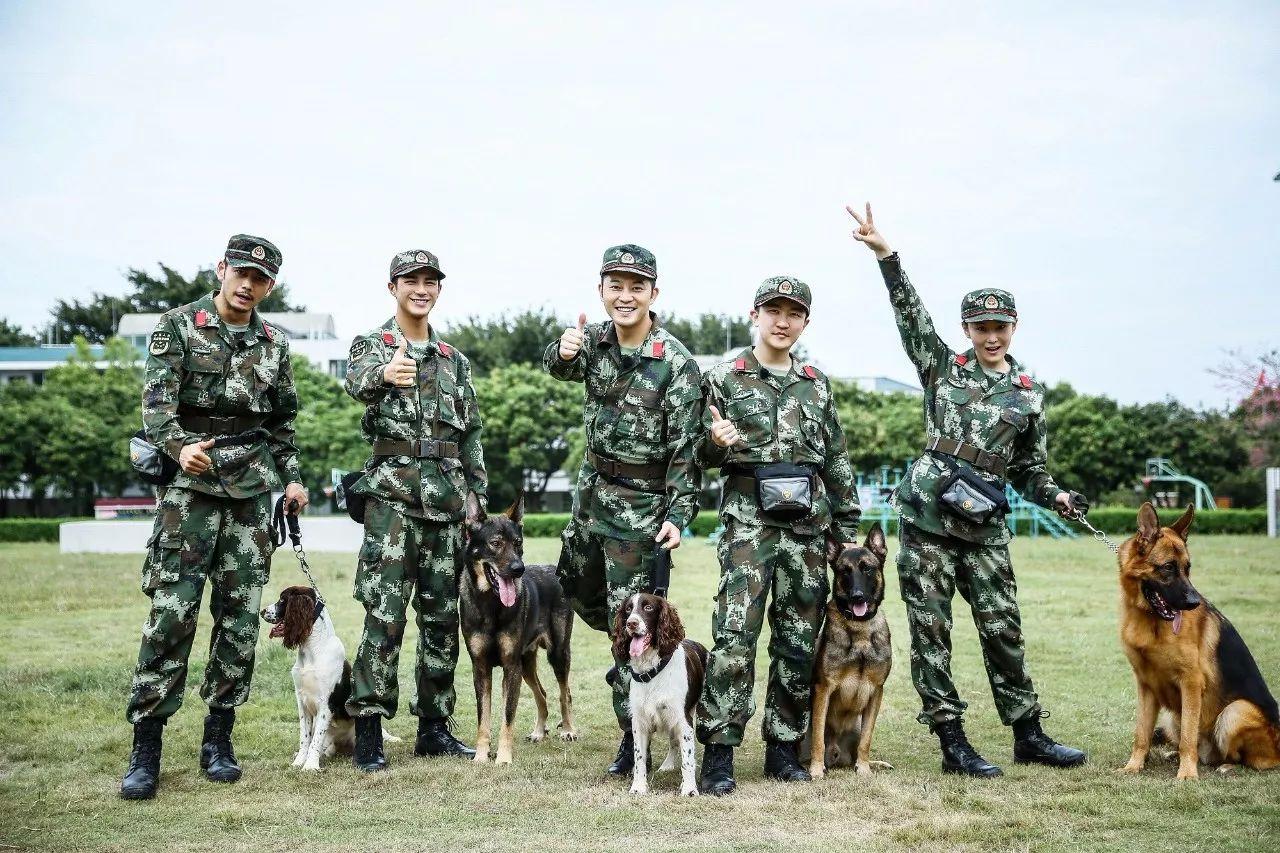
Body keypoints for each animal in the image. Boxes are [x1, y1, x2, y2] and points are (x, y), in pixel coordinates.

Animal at [460, 489, 576, 758]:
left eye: (518, 543)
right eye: (495, 543)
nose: (518, 569)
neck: (490, 604)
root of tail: (555, 570)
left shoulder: (510, 666)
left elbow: (507, 717)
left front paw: (503, 758)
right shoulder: (481, 668)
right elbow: (484, 719)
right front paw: (481, 757)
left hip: (557, 654)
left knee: (564, 693)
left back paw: (568, 729)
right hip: (526, 663)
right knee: (542, 693)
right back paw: (538, 731)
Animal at [798, 522, 890, 773]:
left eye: (867, 569)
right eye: (845, 571)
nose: (857, 596)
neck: (859, 630)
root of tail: (837, 755)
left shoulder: (877, 691)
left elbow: (867, 739)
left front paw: (865, 769)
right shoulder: (824, 689)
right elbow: (818, 738)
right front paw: (816, 771)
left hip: (856, 727)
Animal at [1116, 504, 1274, 778]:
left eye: (1187, 568)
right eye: (1168, 567)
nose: (1193, 603)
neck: (1150, 620)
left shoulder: (1190, 683)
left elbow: (1188, 737)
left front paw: (1187, 774)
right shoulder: (1146, 686)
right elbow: (1141, 733)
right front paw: (1133, 766)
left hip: (1235, 712)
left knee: (1245, 758)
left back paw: (1225, 765)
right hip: (1172, 716)